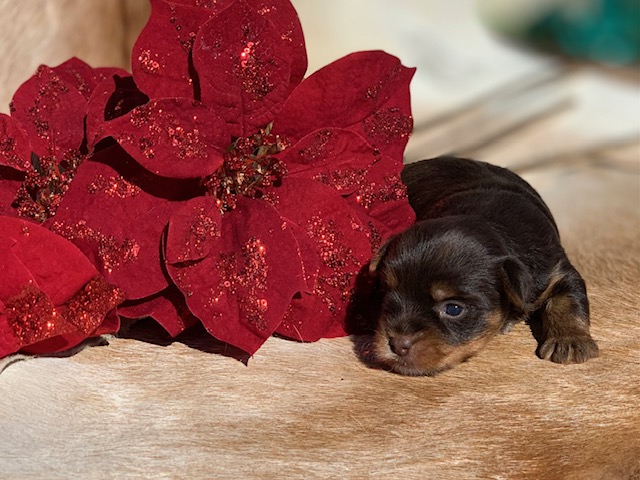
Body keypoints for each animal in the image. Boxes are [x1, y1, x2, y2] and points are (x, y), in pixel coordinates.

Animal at [370, 157, 600, 376]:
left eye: (453, 309)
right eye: (387, 293)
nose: (396, 344)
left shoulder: (554, 272)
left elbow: (567, 300)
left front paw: (569, 342)